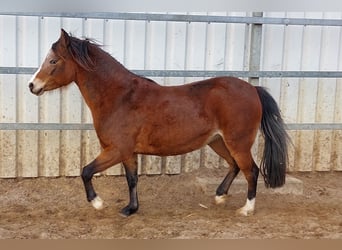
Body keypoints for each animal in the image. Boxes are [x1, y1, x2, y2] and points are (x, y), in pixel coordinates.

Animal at [28, 28, 288, 217]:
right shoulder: (128, 152)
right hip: (217, 141)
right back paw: (219, 195)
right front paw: (130, 209)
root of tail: (252, 89)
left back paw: (247, 209)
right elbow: (132, 180)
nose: (32, 85)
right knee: (234, 166)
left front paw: (98, 203)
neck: (120, 97)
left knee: (251, 171)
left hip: (238, 142)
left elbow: (86, 171)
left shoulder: (116, 150)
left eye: (53, 61)